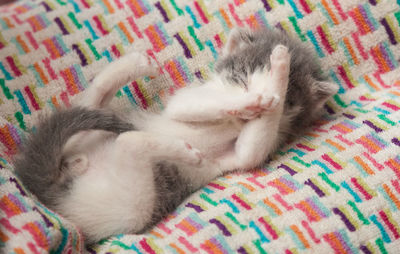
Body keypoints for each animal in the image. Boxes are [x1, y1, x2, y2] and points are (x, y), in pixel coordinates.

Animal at [13, 28, 338, 244]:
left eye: (288, 101)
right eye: (242, 77)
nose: (259, 99)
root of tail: (58, 185)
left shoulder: (248, 150)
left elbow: (250, 151)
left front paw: (274, 82)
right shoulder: (185, 101)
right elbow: (198, 105)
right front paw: (254, 95)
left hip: (126, 199)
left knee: (119, 134)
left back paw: (181, 148)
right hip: (121, 200)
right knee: (106, 118)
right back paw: (137, 67)